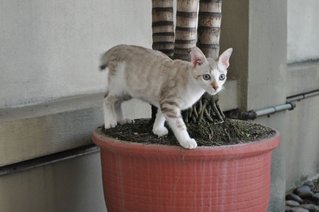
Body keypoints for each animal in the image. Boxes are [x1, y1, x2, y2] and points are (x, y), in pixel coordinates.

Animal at [100, 44, 232, 149]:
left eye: (221, 77)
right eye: (206, 77)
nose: (216, 87)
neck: (193, 86)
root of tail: (119, 47)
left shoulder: (164, 101)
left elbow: (161, 115)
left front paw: (157, 129)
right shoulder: (169, 103)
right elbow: (179, 124)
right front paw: (186, 141)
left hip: (128, 92)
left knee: (117, 102)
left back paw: (122, 119)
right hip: (119, 87)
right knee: (107, 99)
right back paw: (110, 121)